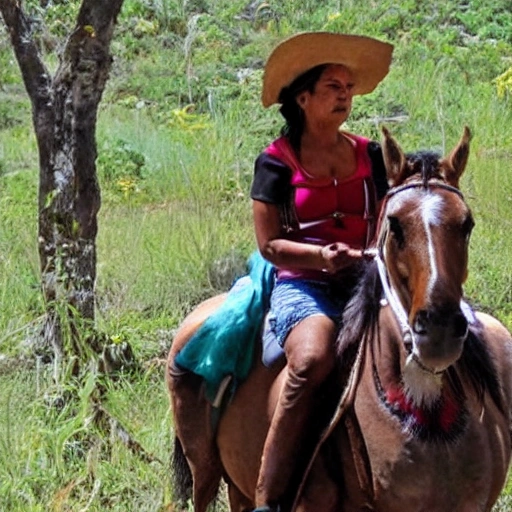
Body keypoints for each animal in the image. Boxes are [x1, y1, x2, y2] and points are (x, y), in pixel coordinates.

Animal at [167, 127, 512, 512]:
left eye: (466, 224)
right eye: (394, 226)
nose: (438, 331)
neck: (428, 411)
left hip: (236, 481)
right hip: (203, 468)